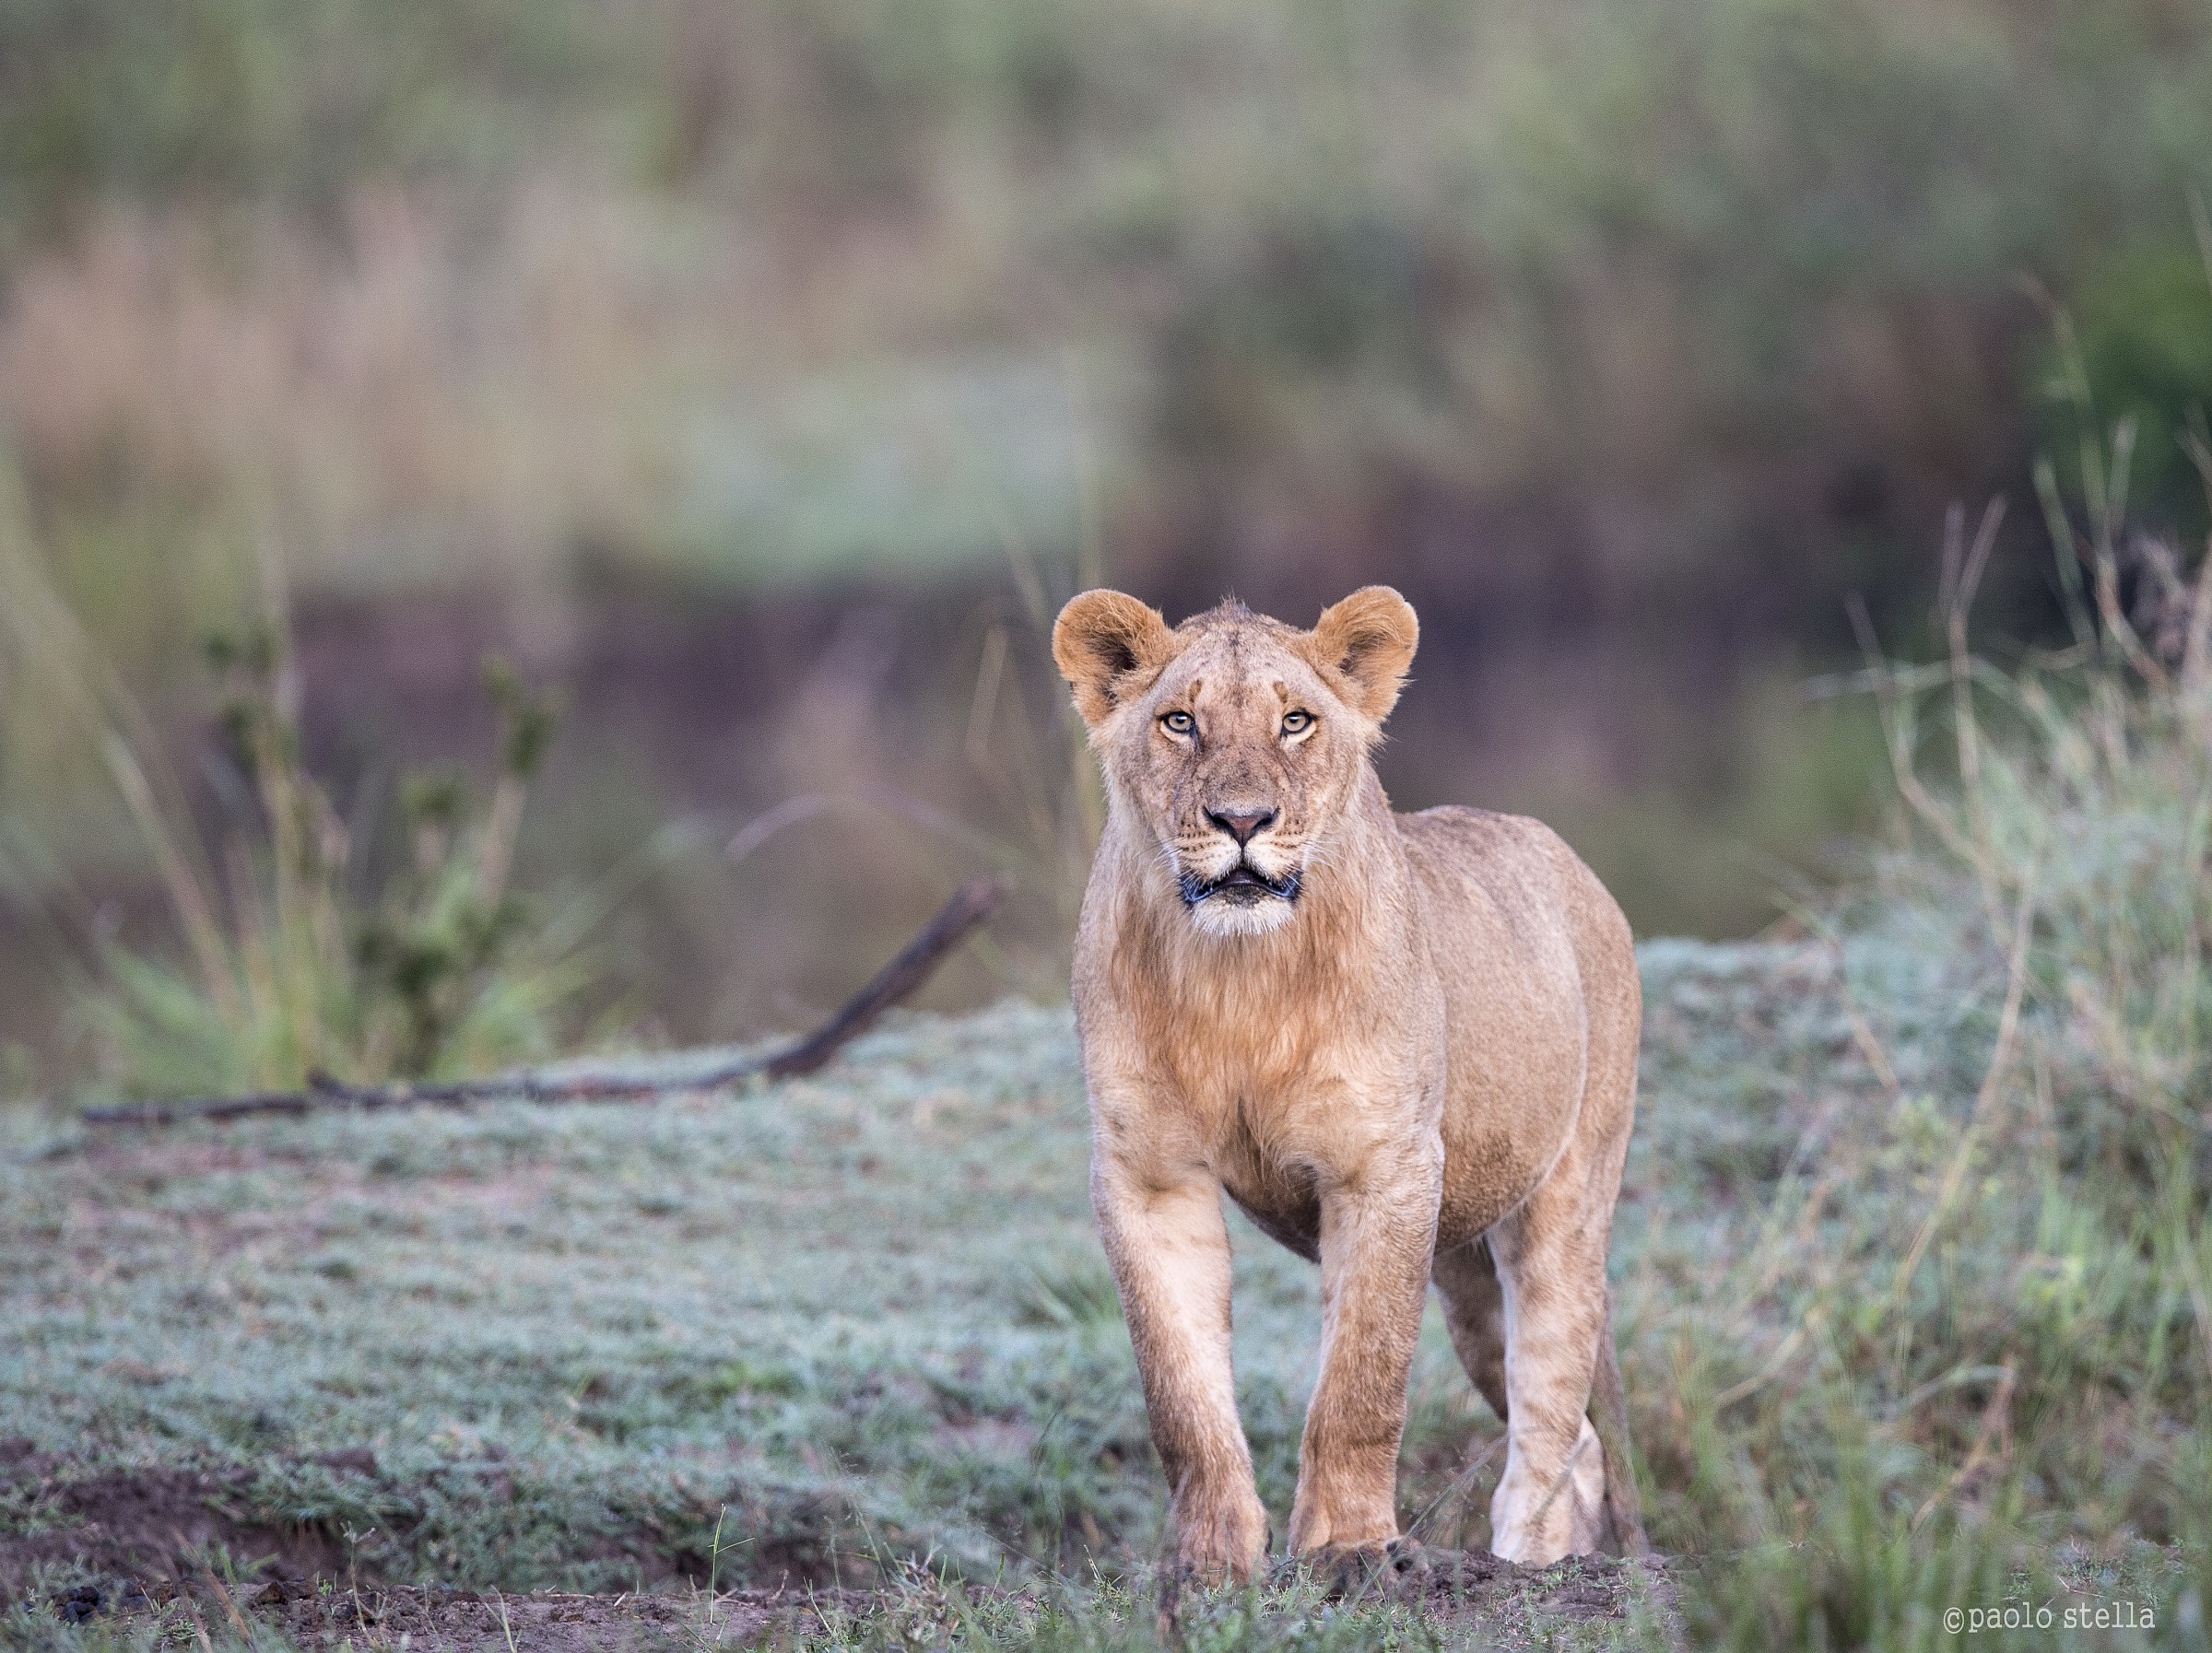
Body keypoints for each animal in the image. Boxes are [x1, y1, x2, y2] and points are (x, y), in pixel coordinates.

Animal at [1051, 585, 1646, 1585]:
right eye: (1180, 721)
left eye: (1296, 721)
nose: (1242, 820)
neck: (1238, 983)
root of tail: (1564, 855)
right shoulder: (1149, 1176)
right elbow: (1181, 1394)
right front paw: (1211, 1564)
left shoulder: (1385, 1168)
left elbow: (1362, 1382)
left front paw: (1348, 1548)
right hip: (1463, 1276)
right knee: (1581, 1441)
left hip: (1563, 1204)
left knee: (1551, 1410)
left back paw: (1528, 1564)